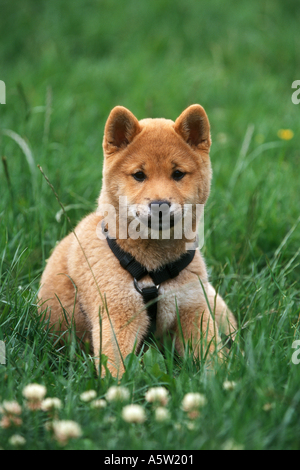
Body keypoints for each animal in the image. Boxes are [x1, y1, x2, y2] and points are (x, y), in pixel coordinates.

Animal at [39, 104, 237, 376]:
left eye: (178, 174)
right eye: (139, 175)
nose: (160, 205)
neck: (154, 269)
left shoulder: (194, 310)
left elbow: (214, 359)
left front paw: (225, 381)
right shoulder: (119, 316)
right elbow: (116, 369)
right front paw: (117, 389)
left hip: (213, 302)